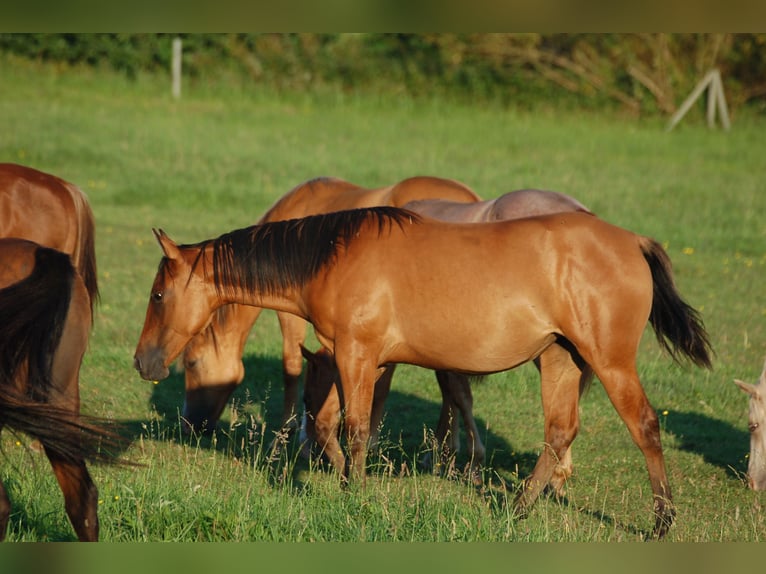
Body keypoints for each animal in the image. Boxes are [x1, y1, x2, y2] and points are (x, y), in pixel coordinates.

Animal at [134, 208, 712, 540]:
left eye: (158, 295)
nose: (142, 362)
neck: (333, 256)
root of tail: (632, 241)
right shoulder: (348, 358)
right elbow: (328, 426)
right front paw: (344, 481)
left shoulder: (357, 355)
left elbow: (355, 429)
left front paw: (355, 498)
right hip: (560, 358)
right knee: (559, 432)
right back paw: (517, 511)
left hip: (609, 361)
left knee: (644, 427)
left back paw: (661, 523)